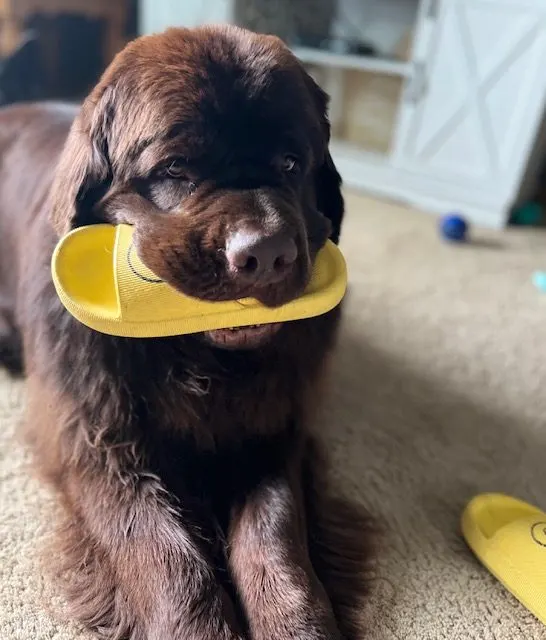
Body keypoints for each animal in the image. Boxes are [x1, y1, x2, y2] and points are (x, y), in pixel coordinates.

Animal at [0, 25, 370, 640]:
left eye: (291, 163)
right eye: (175, 169)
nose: (266, 253)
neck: (198, 363)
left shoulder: (273, 430)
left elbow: (276, 533)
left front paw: (299, 623)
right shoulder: (97, 443)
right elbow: (161, 553)